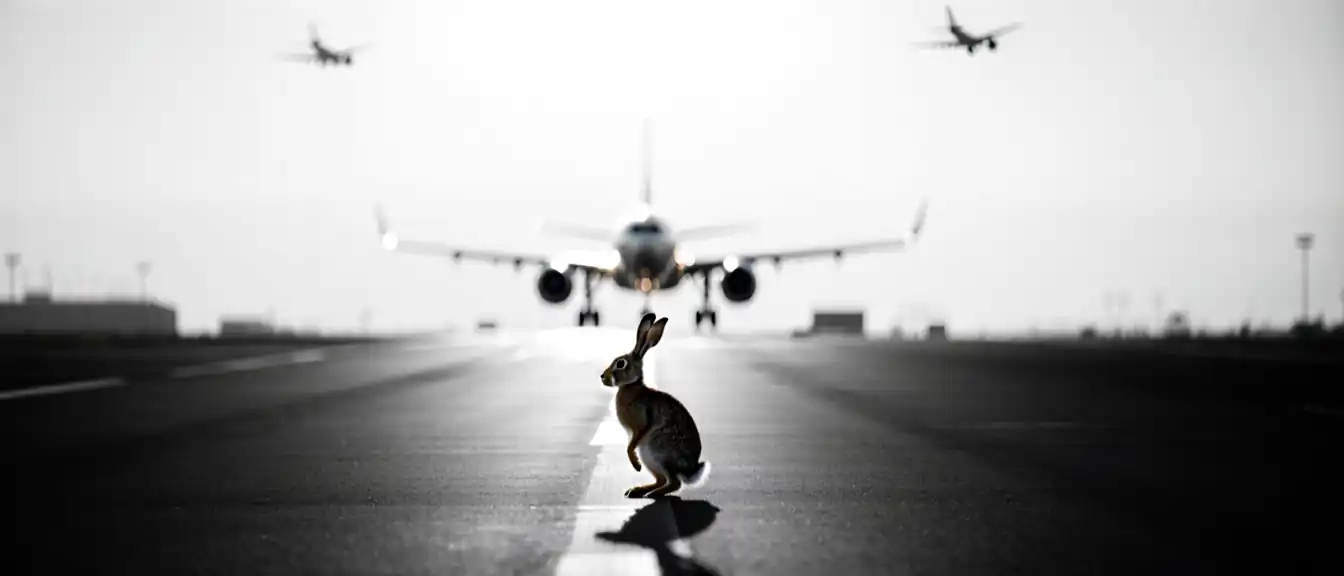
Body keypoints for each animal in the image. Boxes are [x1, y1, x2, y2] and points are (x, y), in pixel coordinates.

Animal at [600, 313, 712, 499]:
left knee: (674, 483)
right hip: (649, 456)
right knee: (662, 480)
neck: (631, 386)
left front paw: (635, 465)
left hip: (658, 450)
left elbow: (631, 445)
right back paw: (638, 490)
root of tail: (688, 471)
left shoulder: (641, 424)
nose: (602, 377)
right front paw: (636, 467)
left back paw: (651, 493)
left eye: (621, 364)